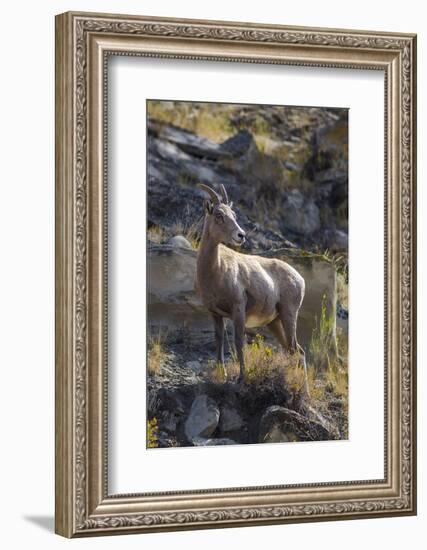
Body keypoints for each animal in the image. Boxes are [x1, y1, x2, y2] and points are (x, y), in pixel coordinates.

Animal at [196, 183, 310, 394]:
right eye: (219, 215)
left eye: (234, 214)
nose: (241, 235)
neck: (216, 270)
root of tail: (299, 279)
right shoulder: (215, 314)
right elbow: (219, 341)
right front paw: (222, 375)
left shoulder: (238, 309)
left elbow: (239, 343)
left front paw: (242, 379)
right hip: (274, 322)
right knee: (292, 351)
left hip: (289, 316)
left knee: (297, 350)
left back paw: (303, 390)